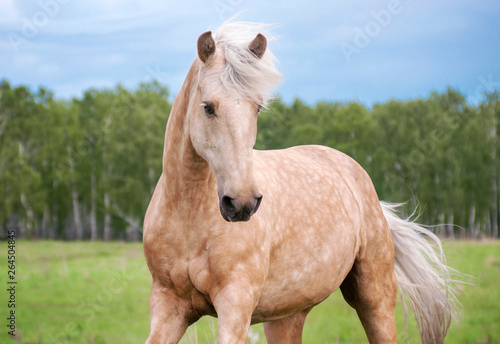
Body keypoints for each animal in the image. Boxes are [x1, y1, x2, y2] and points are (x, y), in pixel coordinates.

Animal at [142, 22, 458, 344]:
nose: (243, 203)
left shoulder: (235, 303)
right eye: (208, 107)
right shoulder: (168, 306)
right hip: (287, 315)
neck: (189, 217)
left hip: (375, 298)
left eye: (257, 108)